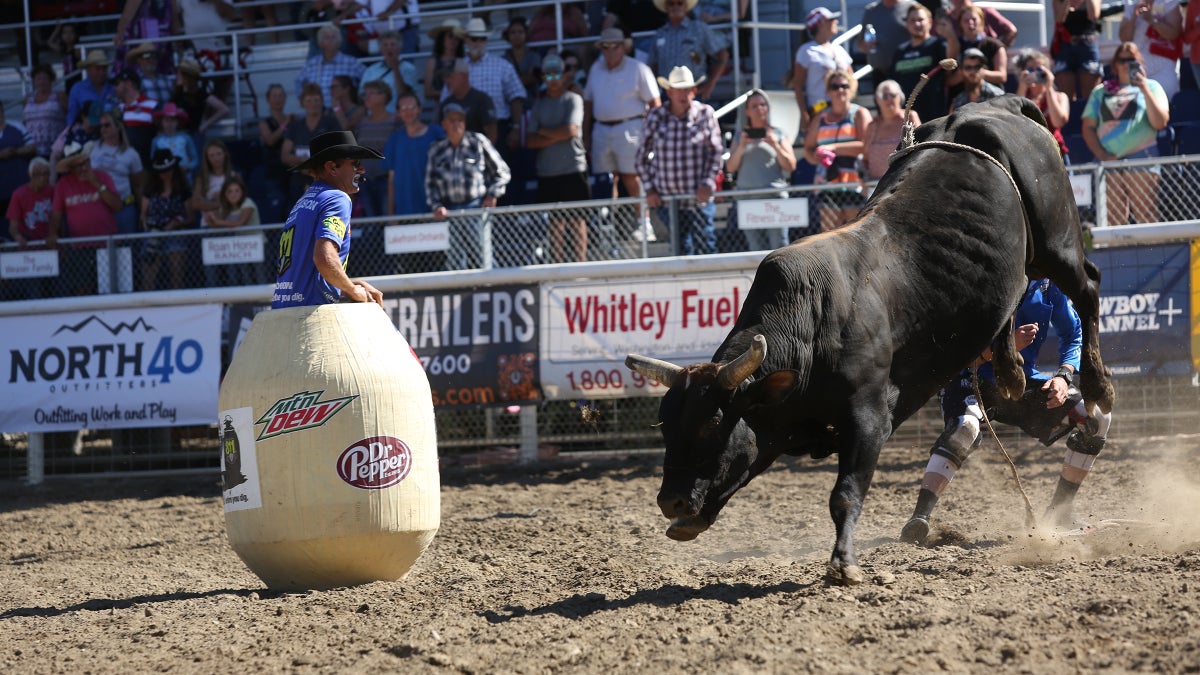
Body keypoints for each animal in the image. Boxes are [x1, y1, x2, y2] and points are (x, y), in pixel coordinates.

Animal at [628, 94, 1113, 583]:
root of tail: (999, 103)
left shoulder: (869, 420)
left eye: (712, 424)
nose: (669, 500)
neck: (813, 326)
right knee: (1014, 295)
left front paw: (844, 564)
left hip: (1058, 241)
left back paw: (1097, 385)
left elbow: (845, 493)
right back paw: (1011, 373)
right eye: (666, 423)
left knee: (1088, 286)